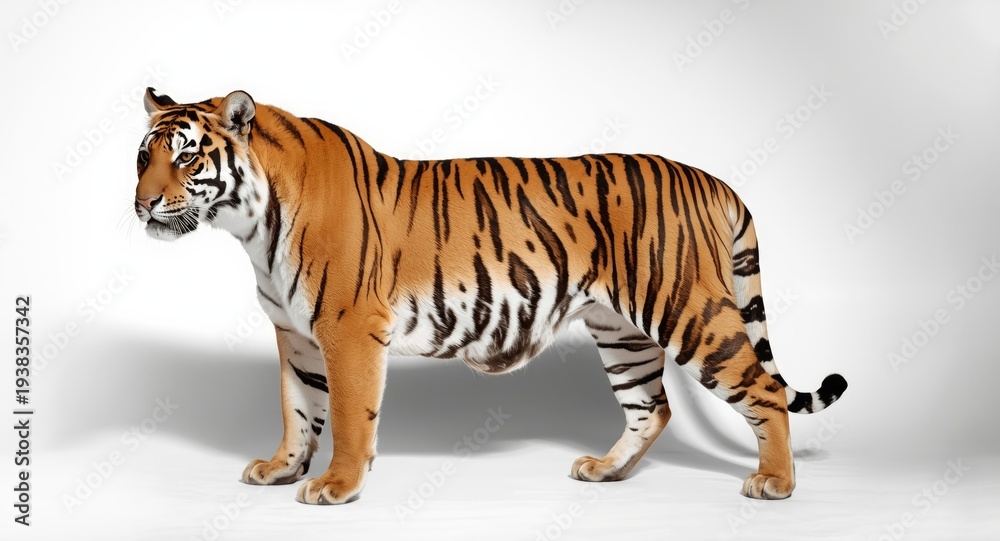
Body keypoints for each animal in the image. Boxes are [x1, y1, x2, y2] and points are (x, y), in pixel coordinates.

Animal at [134, 88, 847, 505]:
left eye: (187, 158)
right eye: (143, 157)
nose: (140, 204)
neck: (250, 222)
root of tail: (711, 178)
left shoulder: (347, 328)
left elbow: (349, 415)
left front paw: (336, 485)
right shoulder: (295, 333)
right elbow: (296, 409)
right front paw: (282, 469)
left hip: (689, 309)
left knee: (762, 389)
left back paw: (776, 483)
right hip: (620, 328)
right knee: (652, 406)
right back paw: (605, 472)